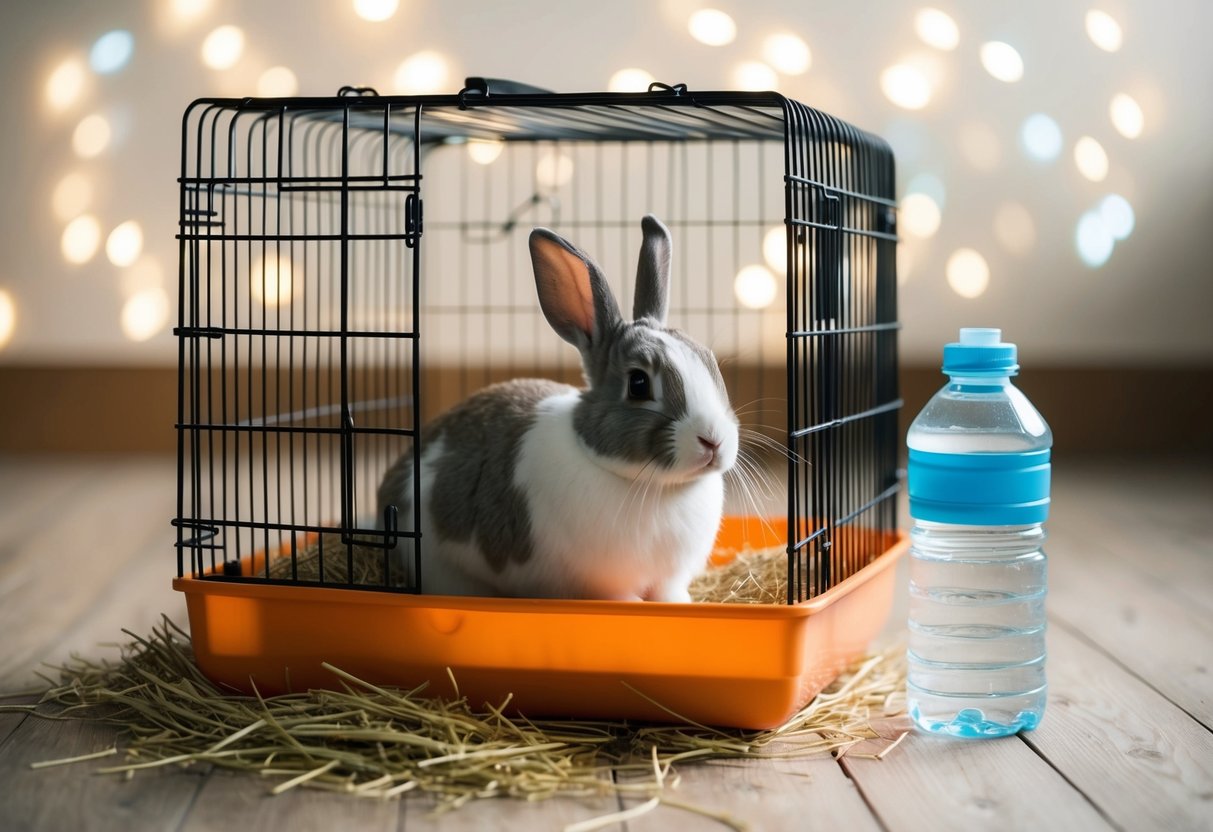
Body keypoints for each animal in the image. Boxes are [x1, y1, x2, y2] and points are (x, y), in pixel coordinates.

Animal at [376, 215, 739, 601]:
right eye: (639, 384)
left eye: (709, 361)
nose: (713, 440)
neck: (656, 484)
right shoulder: (602, 584)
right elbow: (623, 598)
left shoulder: (670, 577)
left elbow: (669, 594)